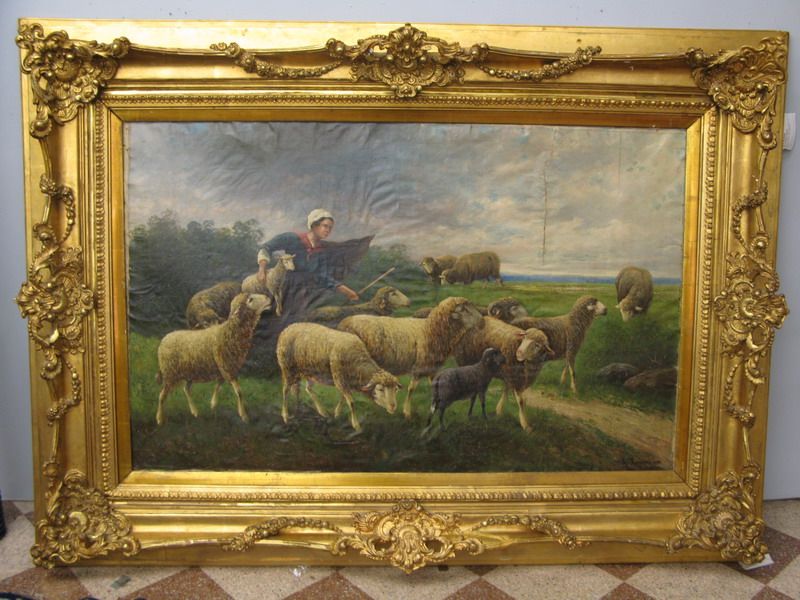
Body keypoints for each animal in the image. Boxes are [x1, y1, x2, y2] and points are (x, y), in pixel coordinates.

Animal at [156, 293, 272, 426]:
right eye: (250, 299)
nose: (269, 298)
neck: (229, 331)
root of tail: (163, 340)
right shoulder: (227, 368)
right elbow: (239, 392)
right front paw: (244, 415)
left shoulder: (224, 369)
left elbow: (219, 385)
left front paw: (213, 403)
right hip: (170, 373)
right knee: (162, 395)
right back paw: (160, 418)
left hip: (191, 371)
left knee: (186, 389)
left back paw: (194, 411)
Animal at [338, 296, 484, 419]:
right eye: (465, 310)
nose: (482, 321)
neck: (431, 330)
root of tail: (344, 323)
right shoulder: (419, 367)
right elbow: (411, 389)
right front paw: (407, 412)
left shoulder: (431, 369)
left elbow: (435, 388)